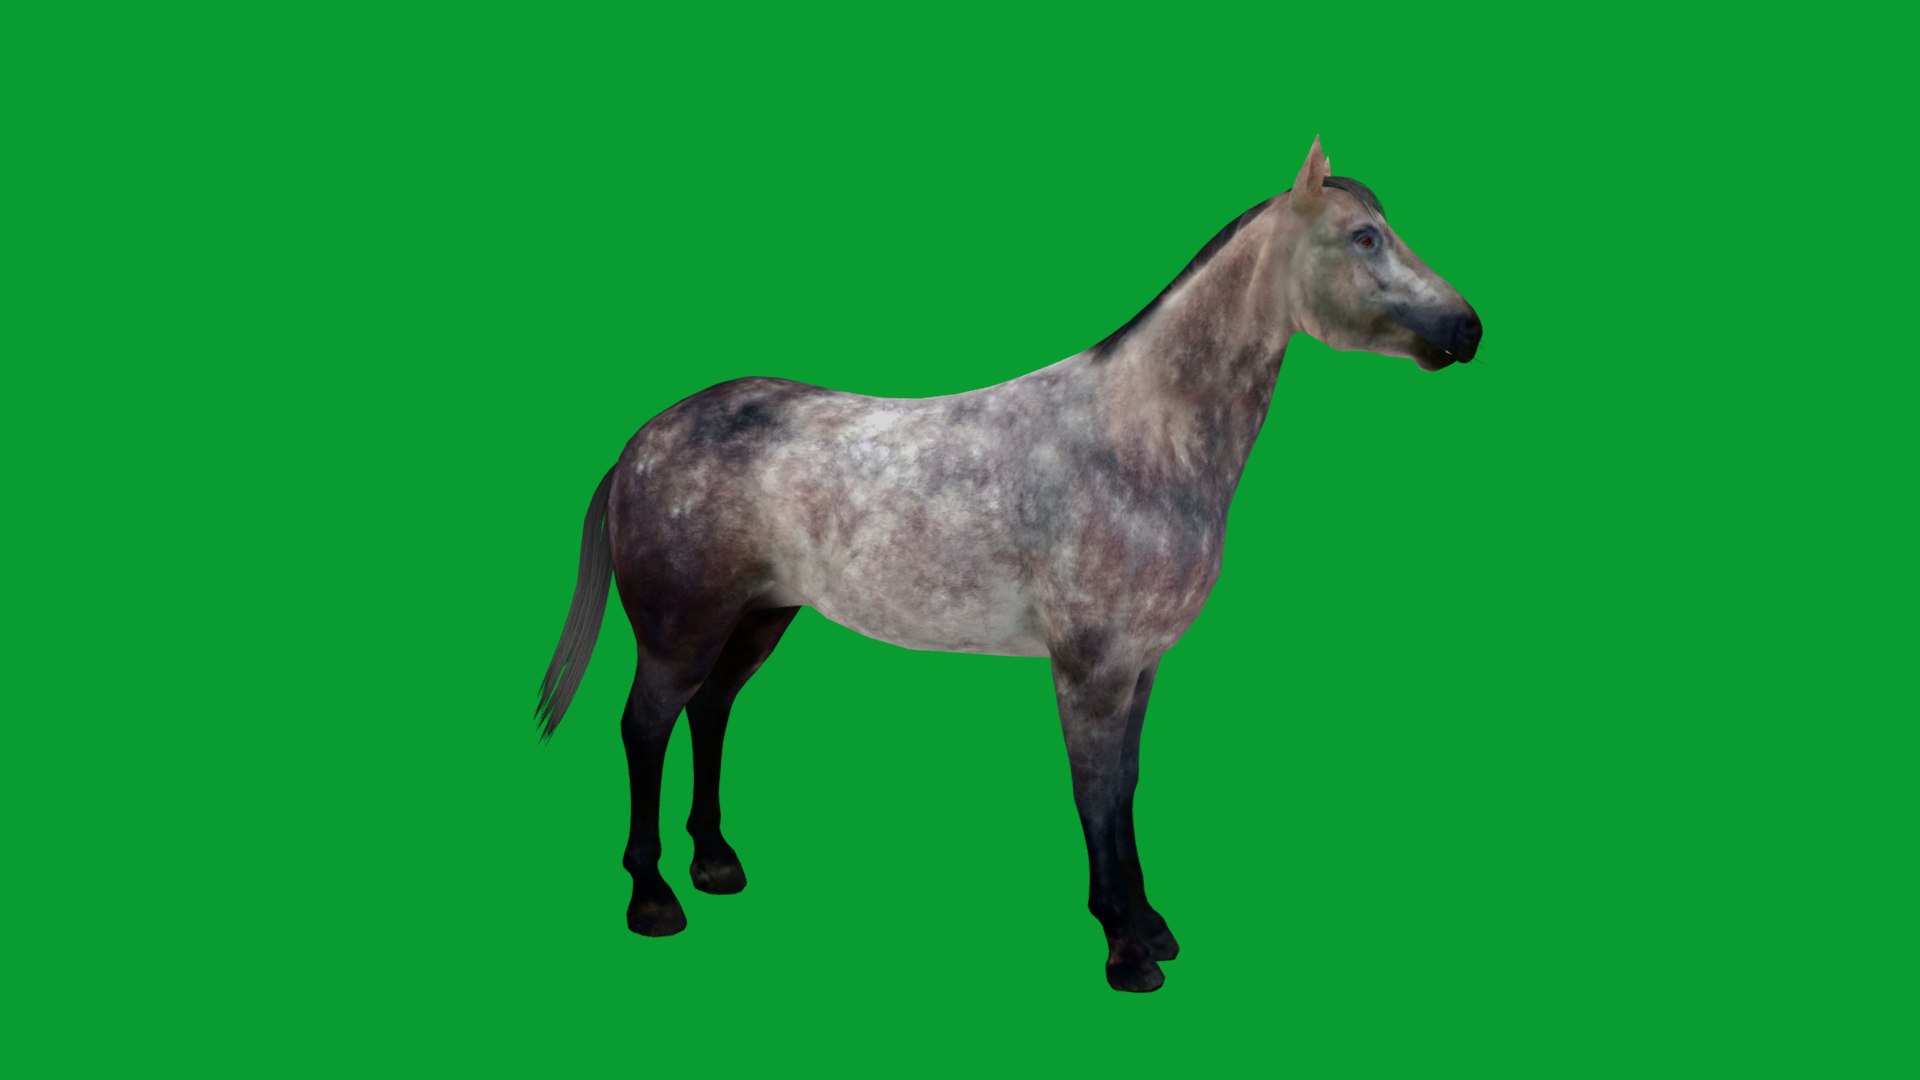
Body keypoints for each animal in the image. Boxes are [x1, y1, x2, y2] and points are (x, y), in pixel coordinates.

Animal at [535, 138, 1482, 992]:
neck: (1136, 444)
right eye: (1364, 236)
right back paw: (654, 899)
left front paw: (1147, 925)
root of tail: (641, 440)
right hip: (679, 631)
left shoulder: (1140, 667)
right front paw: (1127, 952)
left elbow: (1125, 787)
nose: (1468, 328)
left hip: (759, 619)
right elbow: (1095, 797)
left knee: (711, 713)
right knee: (646, 727)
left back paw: (716, 864)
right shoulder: (1090, 670)